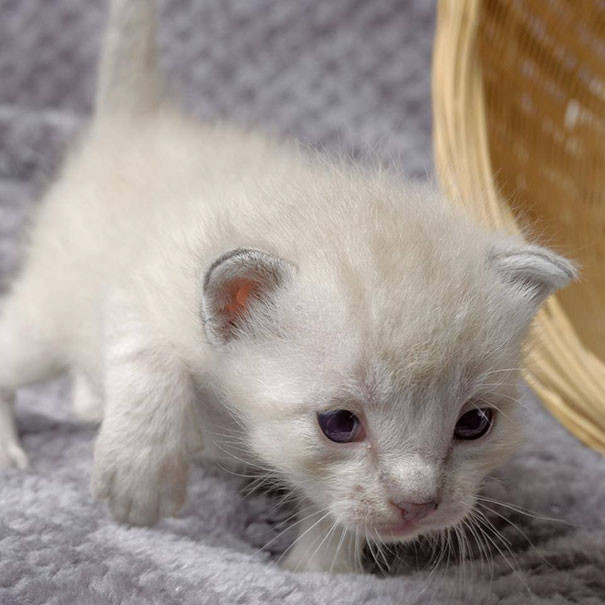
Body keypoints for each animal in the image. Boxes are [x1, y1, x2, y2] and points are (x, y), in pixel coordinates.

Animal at [0, 0, 572, 572]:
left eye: (474, 422)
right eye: (338, 423)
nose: (417, 505)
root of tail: (133, 125)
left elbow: (337, 517)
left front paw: (323, 572)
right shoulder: (139, 290)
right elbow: (151, 365)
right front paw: (139, 481)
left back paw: (88, 404)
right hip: (47, 317)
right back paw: (12, 451)